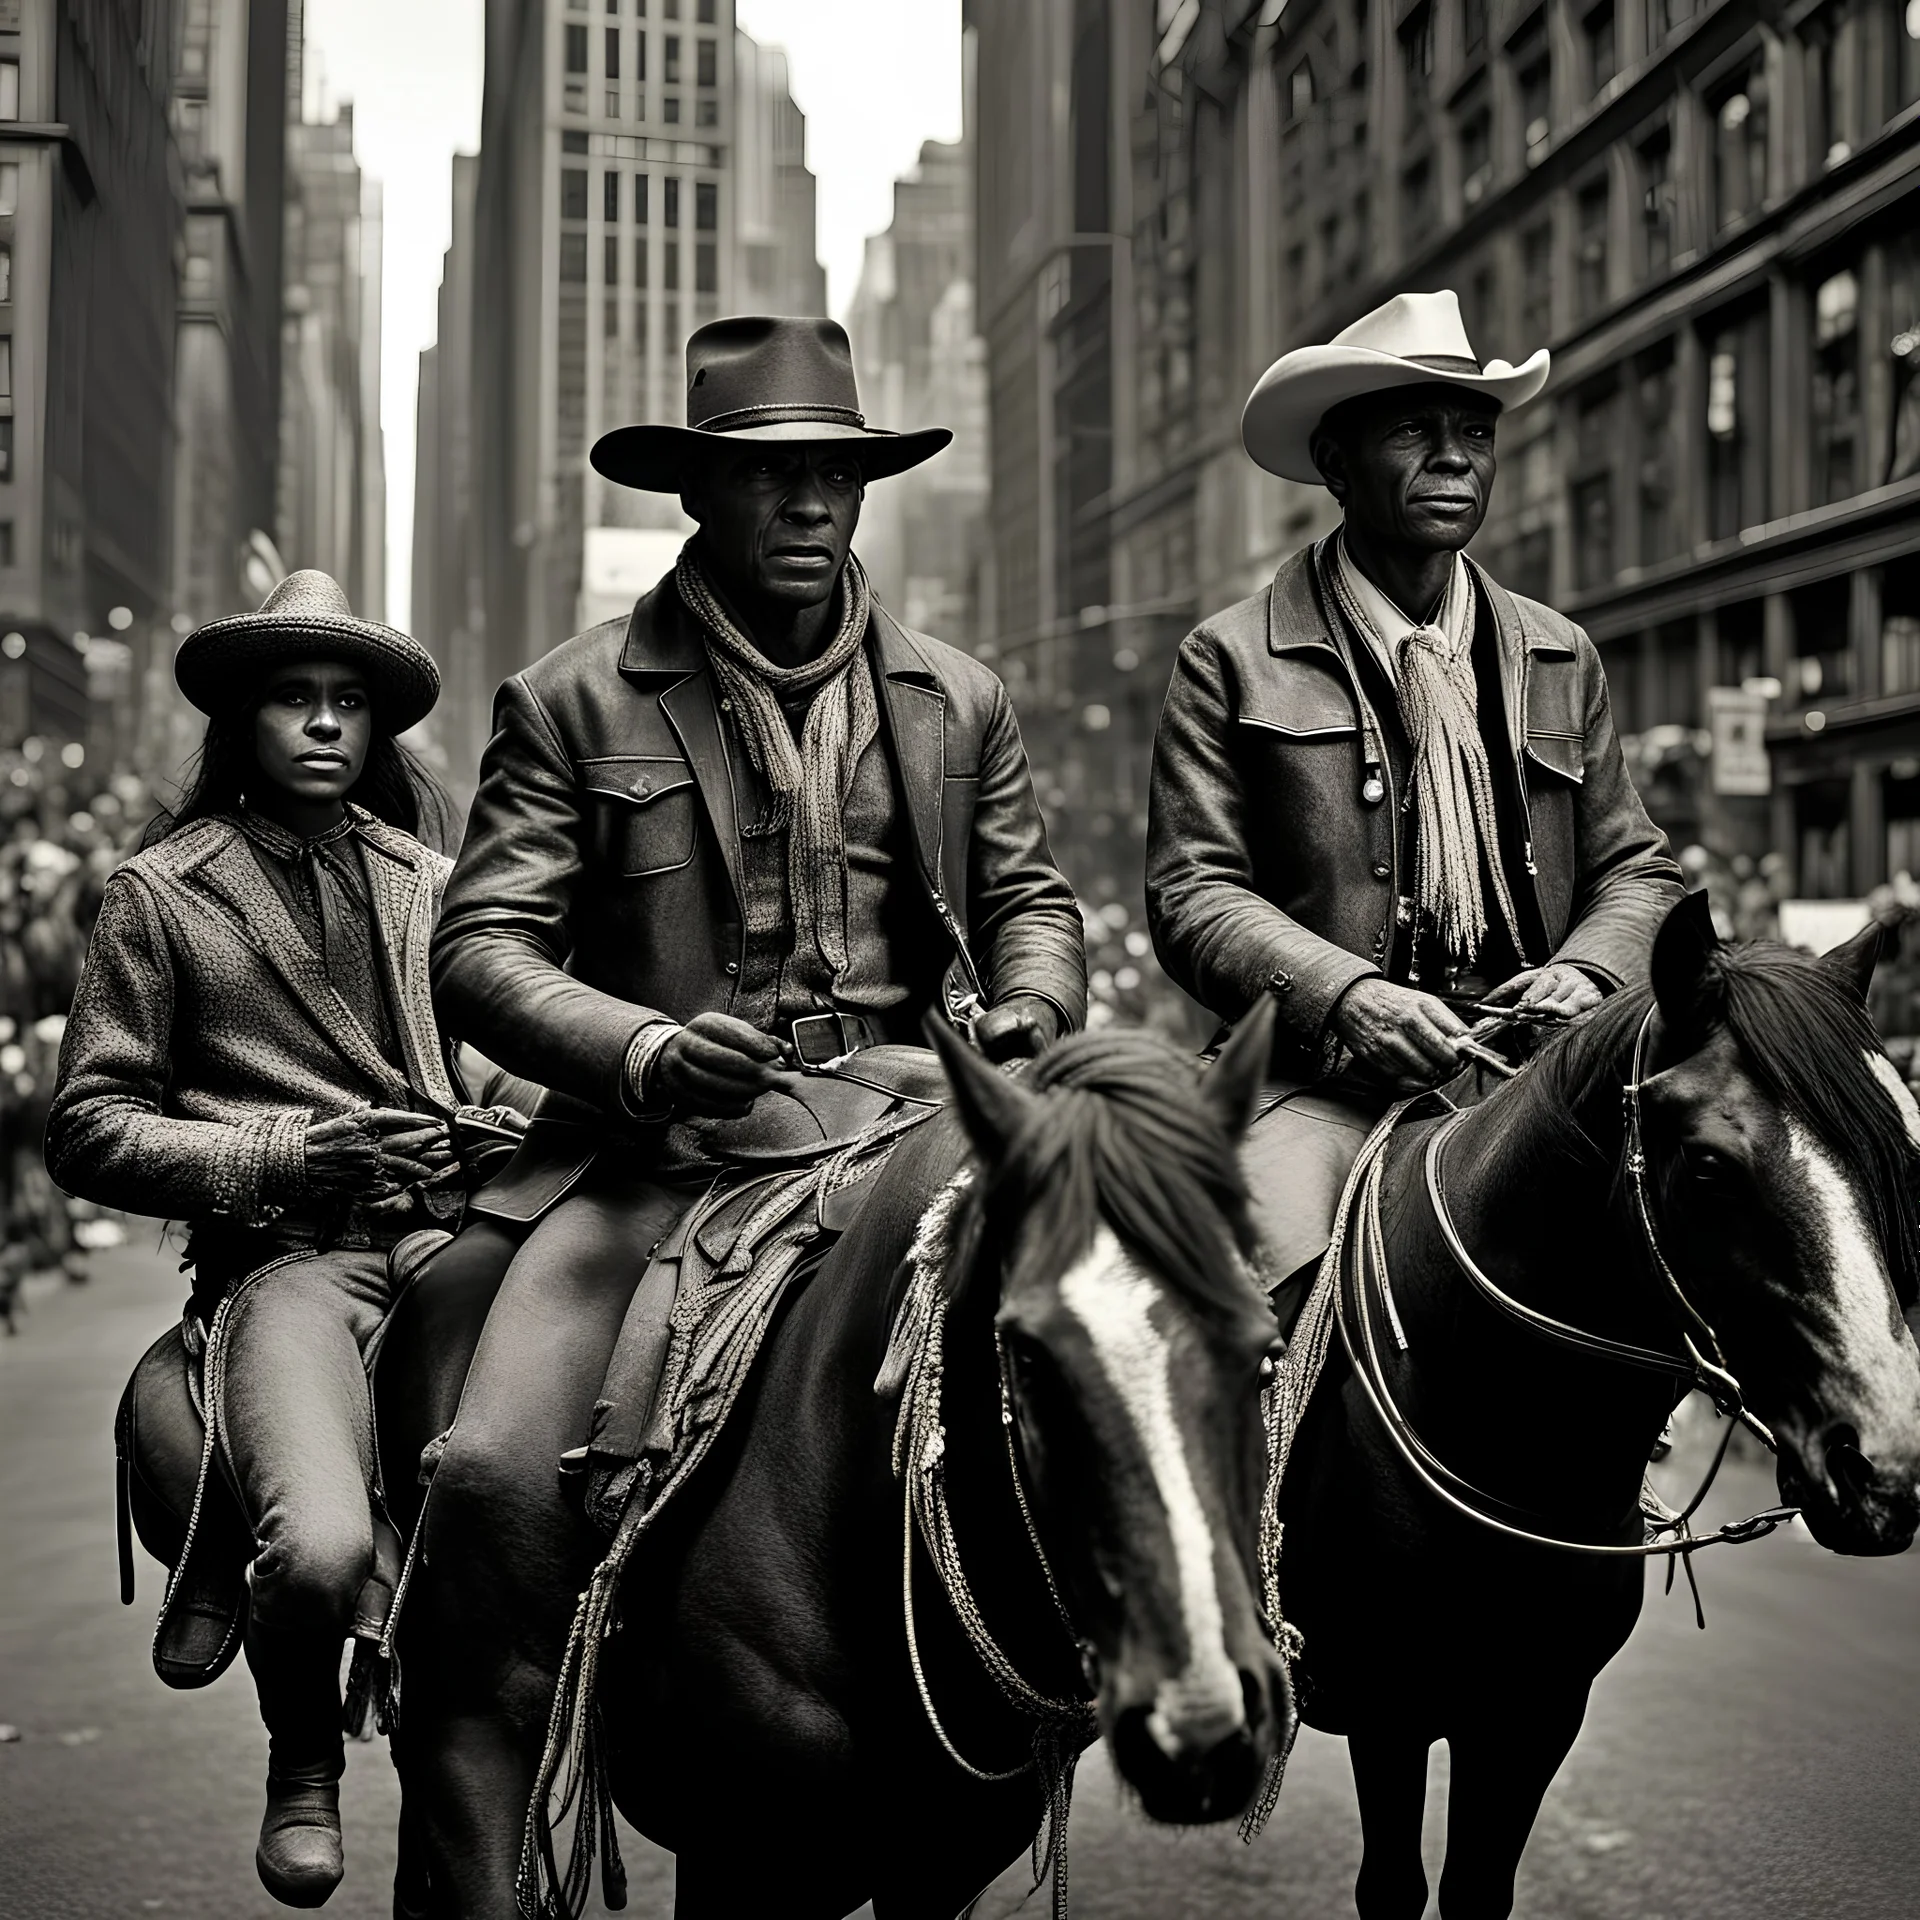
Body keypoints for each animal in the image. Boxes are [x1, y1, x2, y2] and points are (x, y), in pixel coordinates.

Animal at [378, 1006, 1290, 1920]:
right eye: (1029, 1355)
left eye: (1264, 1353)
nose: (1200, 1721)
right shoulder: (745, 1861)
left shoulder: (937, 1868)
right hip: (470, 1740)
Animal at [1267, 887, 1920, 1920]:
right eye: (1708, 1167)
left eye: (1905, 1151)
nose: (1885, 1464)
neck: (1504, 1418)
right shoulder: (1391, 1702)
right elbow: (1393, 1885)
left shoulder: (1535, 1714)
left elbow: (1478, 1886)